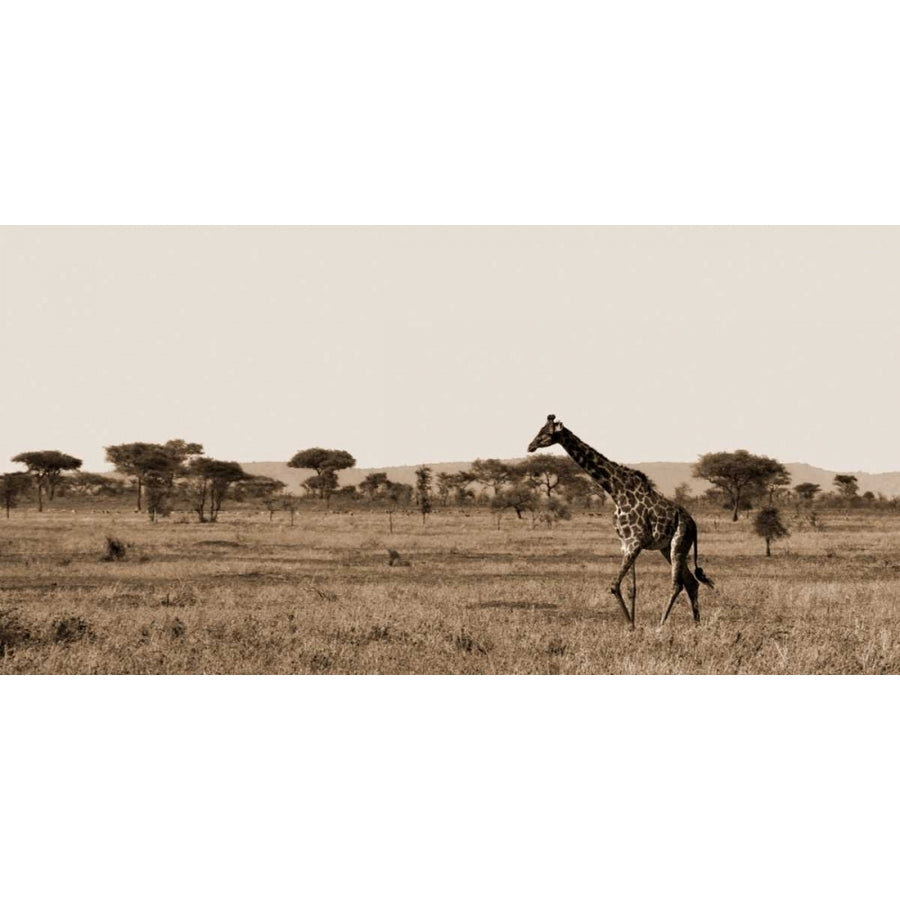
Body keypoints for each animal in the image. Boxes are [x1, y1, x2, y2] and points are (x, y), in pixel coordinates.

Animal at [528, 414, 712, 624]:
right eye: (540, 429)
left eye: (546, 432)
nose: (530, 446)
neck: (617, 491)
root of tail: (693, 524)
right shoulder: (625, 543)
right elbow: (632, 588)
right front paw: (632, 625)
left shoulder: (635, 542)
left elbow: (614, 586)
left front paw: (630, 625)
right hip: (666, 548)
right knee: (691, 582)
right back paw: (696, 624)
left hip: (678, 544)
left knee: (678, 584)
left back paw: (661, 625)